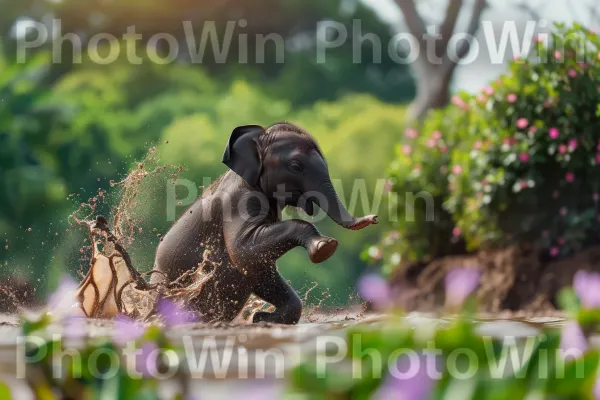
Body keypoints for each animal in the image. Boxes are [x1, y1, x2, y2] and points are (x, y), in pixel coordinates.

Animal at [152, 122, 378, 324]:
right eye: (296, 167)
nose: (374, 218)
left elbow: (259, 270)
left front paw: (261, 319)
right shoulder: (239, 199)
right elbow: (243, 251)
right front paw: (325, 247)